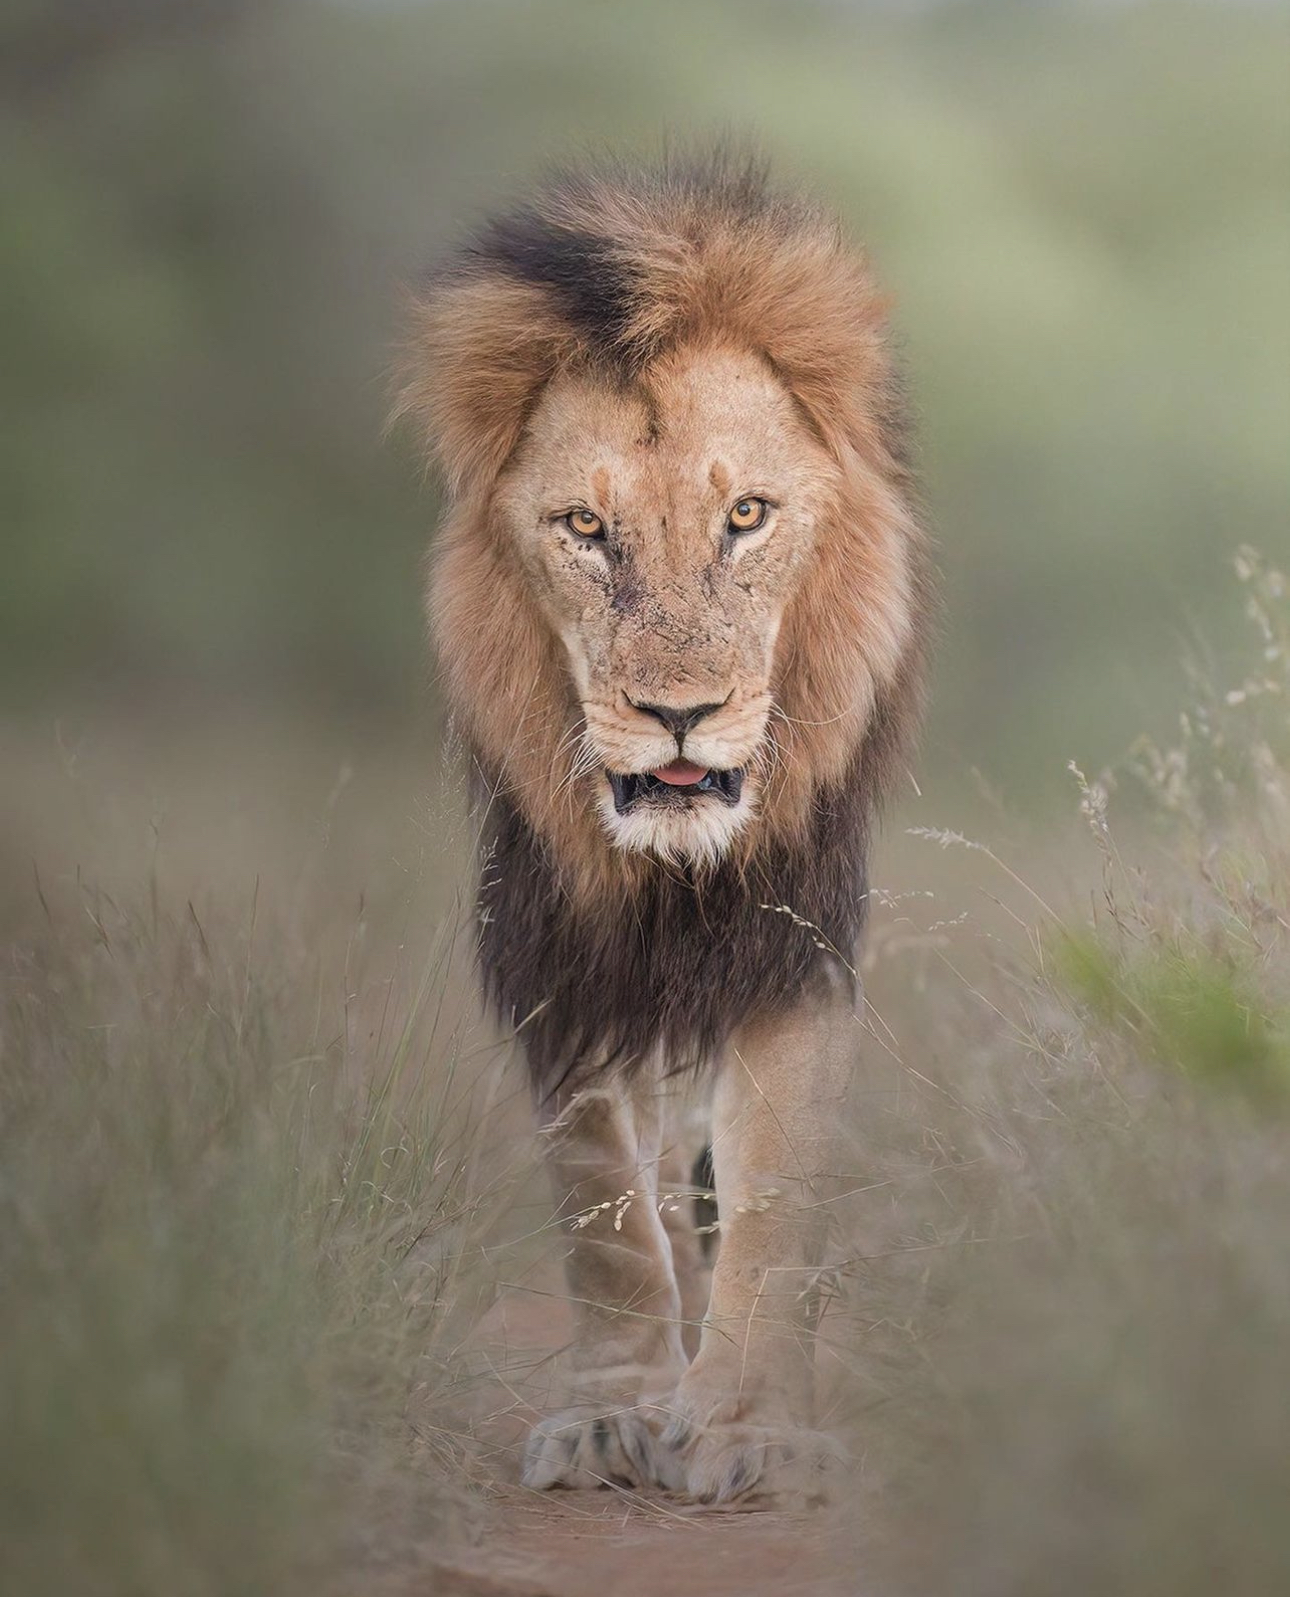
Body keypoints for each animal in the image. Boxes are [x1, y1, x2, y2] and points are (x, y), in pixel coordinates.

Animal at [394, 151, 931, 1503]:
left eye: (746, 516)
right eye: (586, 529)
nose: (678, 714)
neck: (674, 870)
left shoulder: (792, 935)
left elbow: (777, 1185)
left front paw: (748, 1426)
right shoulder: (553, 949)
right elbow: (603, 1208)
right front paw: (616, 1411)